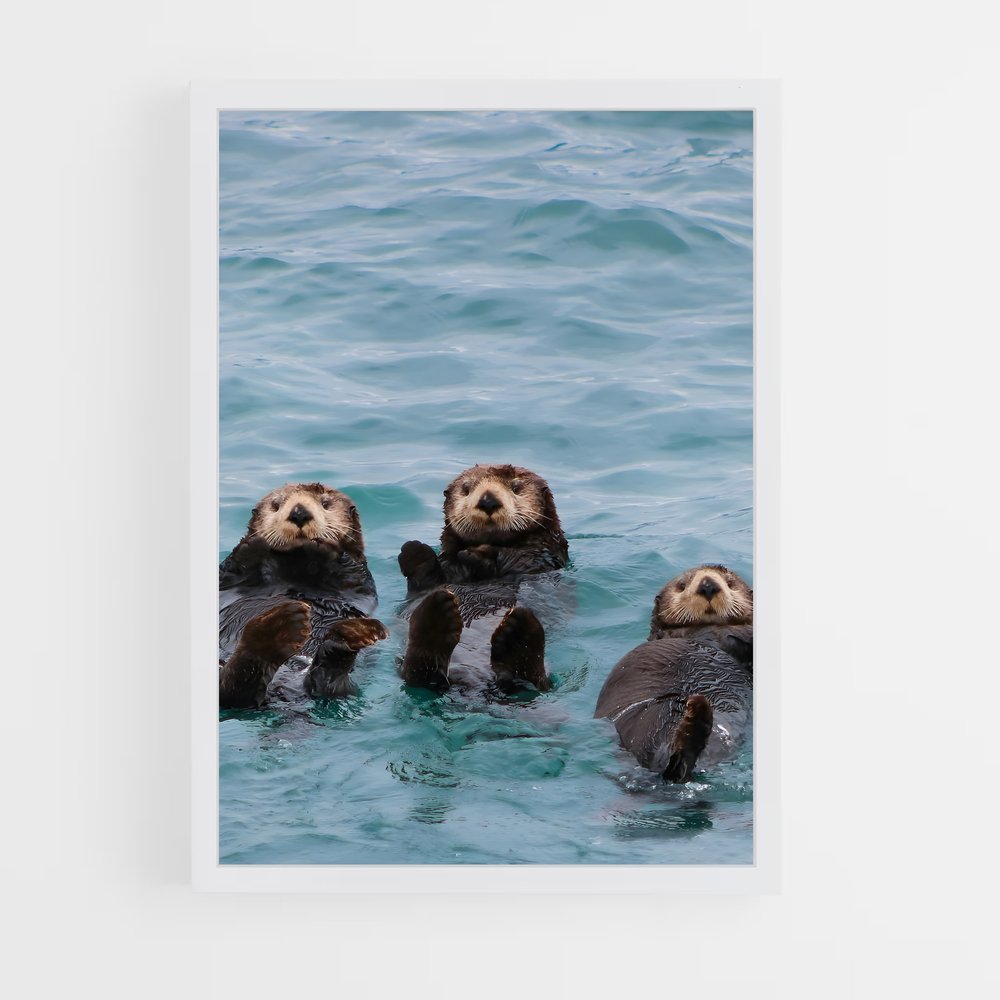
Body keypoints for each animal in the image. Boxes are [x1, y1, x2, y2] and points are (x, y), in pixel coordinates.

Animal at [218, 482, 388, 709]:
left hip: (347, 687)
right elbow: (231, 570)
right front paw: (255, 543)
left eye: (325, 503)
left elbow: (348, 570)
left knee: (327, 685)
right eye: (276, 504)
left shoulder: (359, 581)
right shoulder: (229, 580)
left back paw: (349, 635)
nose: (299, 513)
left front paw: (321, 546)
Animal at [396, 464, 569, 695]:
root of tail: (472, 680)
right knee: (417, 674)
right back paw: (437, 616)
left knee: (536, 682)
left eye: (516, 487)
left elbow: (516, 558)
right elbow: (427, 579)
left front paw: (477, 554)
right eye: (466, 488)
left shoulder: (540, 558)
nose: (488, 500)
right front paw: (414, 551)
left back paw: (519, 633)